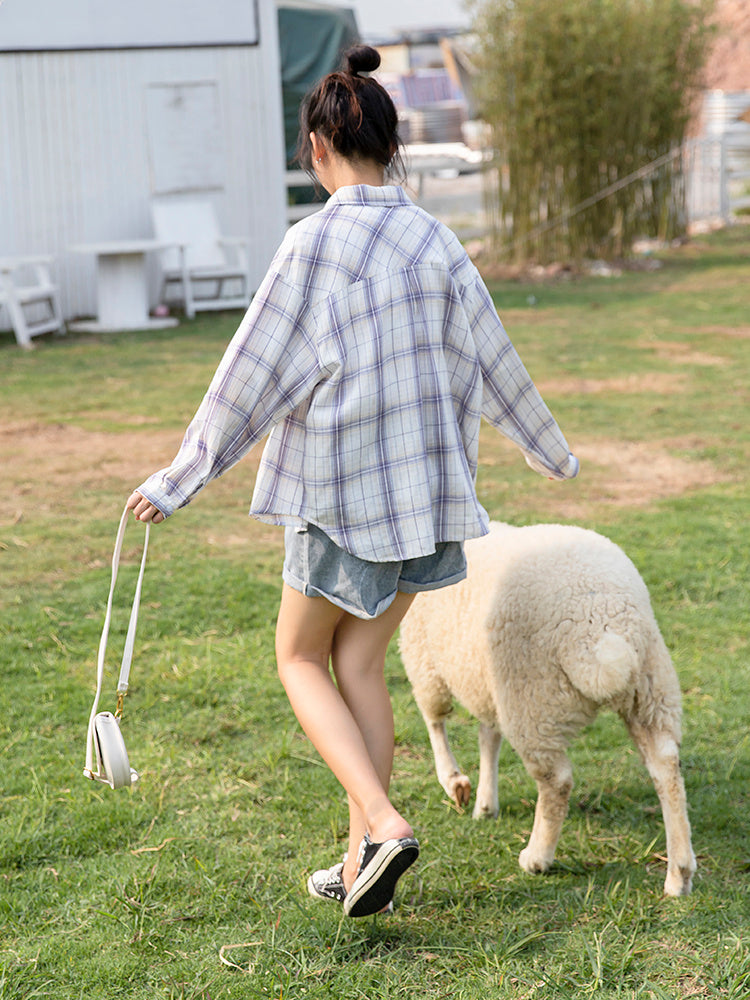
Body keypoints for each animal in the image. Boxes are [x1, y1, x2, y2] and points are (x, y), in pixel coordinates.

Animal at [400, 524, 700, 900]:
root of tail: (603, 618)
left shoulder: (425, 661)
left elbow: (435, 720)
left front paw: (455, 782)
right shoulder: (488, 684)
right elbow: (488, 736)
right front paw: (485, 803)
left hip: (533, 700)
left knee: (556, 781)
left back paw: (537, 857)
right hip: (650, 688)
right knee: (666, 767)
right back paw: (679, 874)